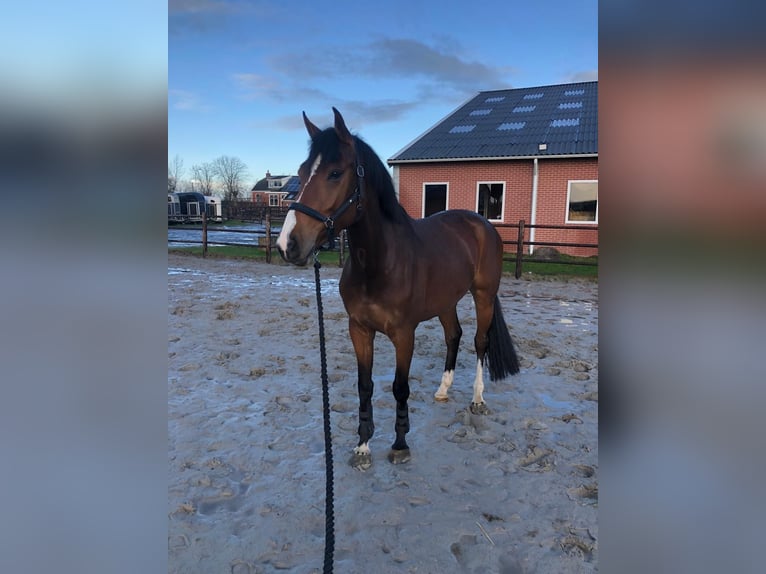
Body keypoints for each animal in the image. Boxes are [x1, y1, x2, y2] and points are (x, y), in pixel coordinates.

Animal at [277, 108, 520, 470]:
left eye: (335, 173)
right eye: (303, 171)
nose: (288, 244)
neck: (379, 264)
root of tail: (481, 223)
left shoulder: (404, 334)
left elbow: (400, 387)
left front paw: (400, 444)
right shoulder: (359, 330)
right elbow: (364, 386)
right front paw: (363, 446)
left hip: (484, 296)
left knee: (480, 341)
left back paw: (477, 399)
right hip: (446, 301)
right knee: (454, 335)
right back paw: (443, 390)